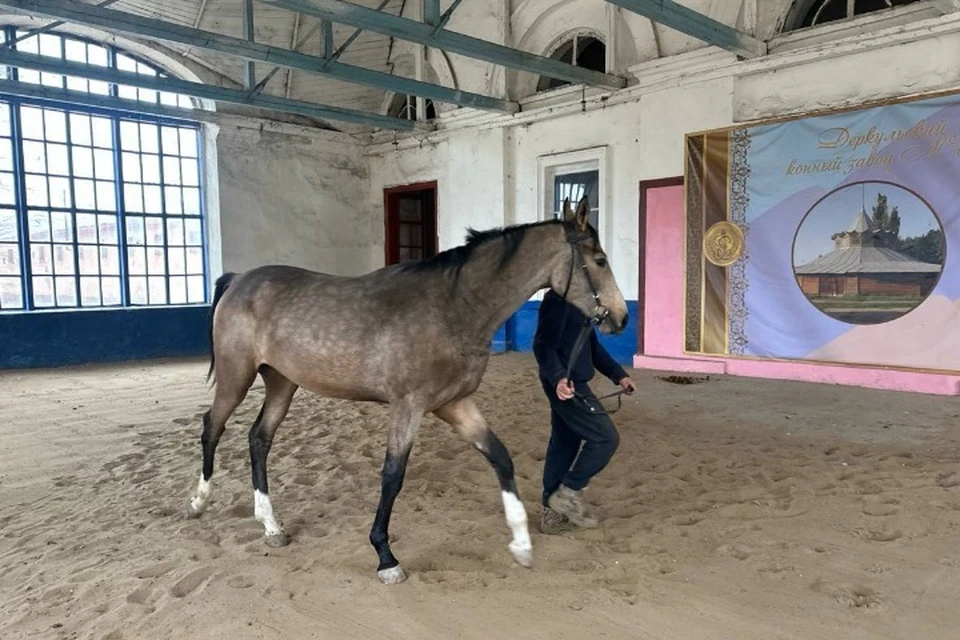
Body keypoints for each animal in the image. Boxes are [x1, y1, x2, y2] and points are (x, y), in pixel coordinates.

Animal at [187, 199, 632, 584]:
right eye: (600, 260)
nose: (622, 317)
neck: (453, 307)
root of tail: (238, 280)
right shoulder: (408, 406)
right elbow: (392, 476)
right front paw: (385, 557)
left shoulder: (454, 404)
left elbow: (501, 458)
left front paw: (522, 545)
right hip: (236, 376)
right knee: (213, 427)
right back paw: (199, 501)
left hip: (282, 382)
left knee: (259, 438)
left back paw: (271, 525)